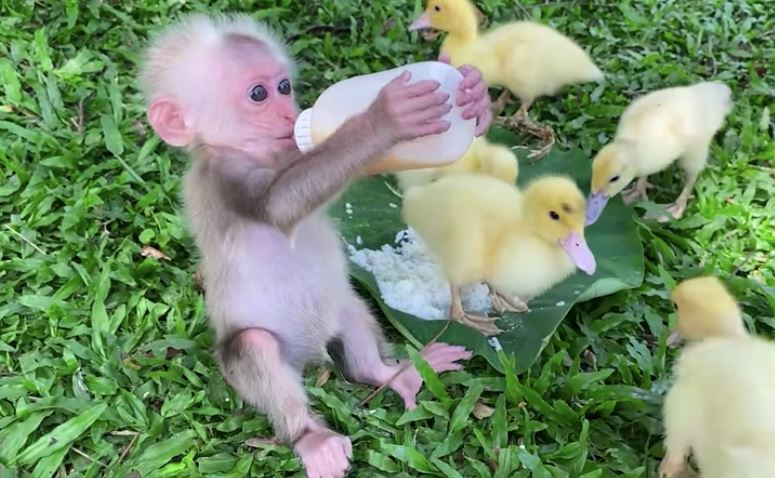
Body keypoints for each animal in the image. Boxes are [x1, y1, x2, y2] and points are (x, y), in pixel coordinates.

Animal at [139, 11, 492, 478]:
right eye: (258, 94)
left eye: (284, 86)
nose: (290, 112)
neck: (259, 154)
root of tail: (308, 355)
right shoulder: (225, 177)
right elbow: (281, 204)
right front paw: (383, 118)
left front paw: (476, 97)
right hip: (257, 350)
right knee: (255, 347)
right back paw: (311, 438)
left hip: (335, 311)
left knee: (351, 311)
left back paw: (395, 374)